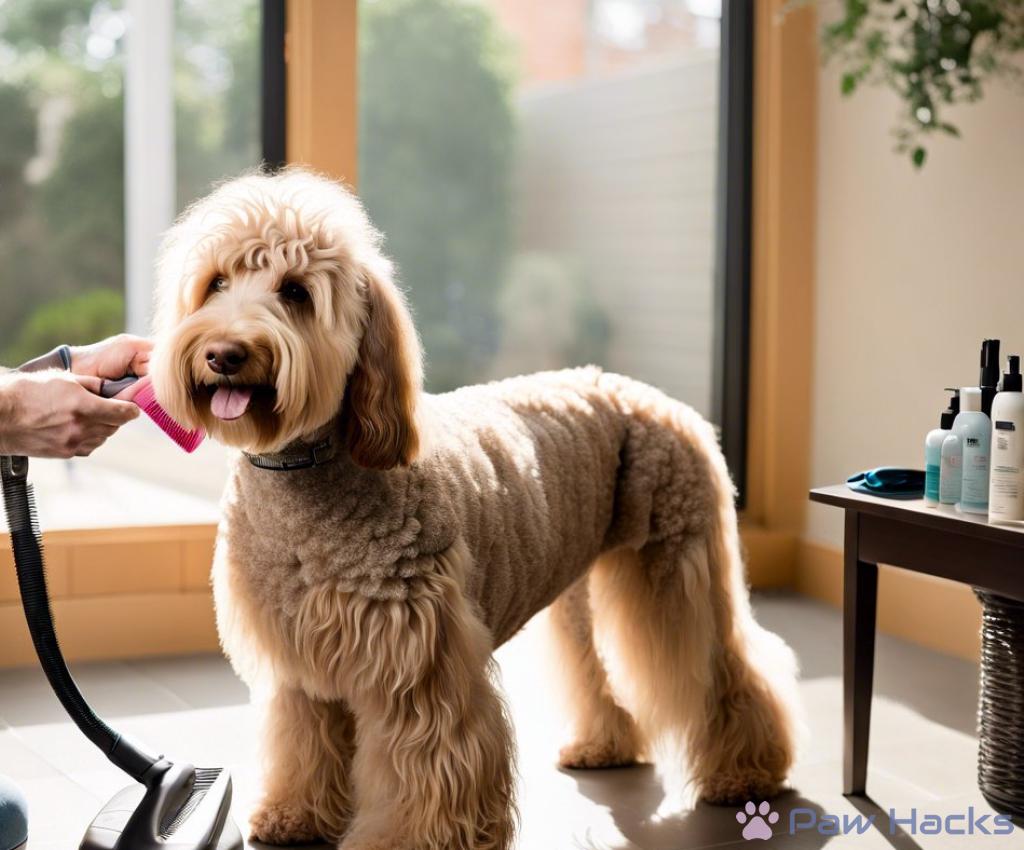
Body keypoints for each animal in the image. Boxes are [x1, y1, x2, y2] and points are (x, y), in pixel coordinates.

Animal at [151, 170, 802, 850]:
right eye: (216, 284)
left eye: (296, 292)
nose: (224, 353)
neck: (306, 474)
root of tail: (661, 401)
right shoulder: (300, 663)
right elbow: (306, 742)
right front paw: (296, 813)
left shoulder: (418, 665)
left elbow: (428, 766)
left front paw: (408, 840)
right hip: (577, 595)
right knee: (596, 668)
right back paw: (603, 744)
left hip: (677, 577)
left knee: (730, 669)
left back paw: (747, 774)